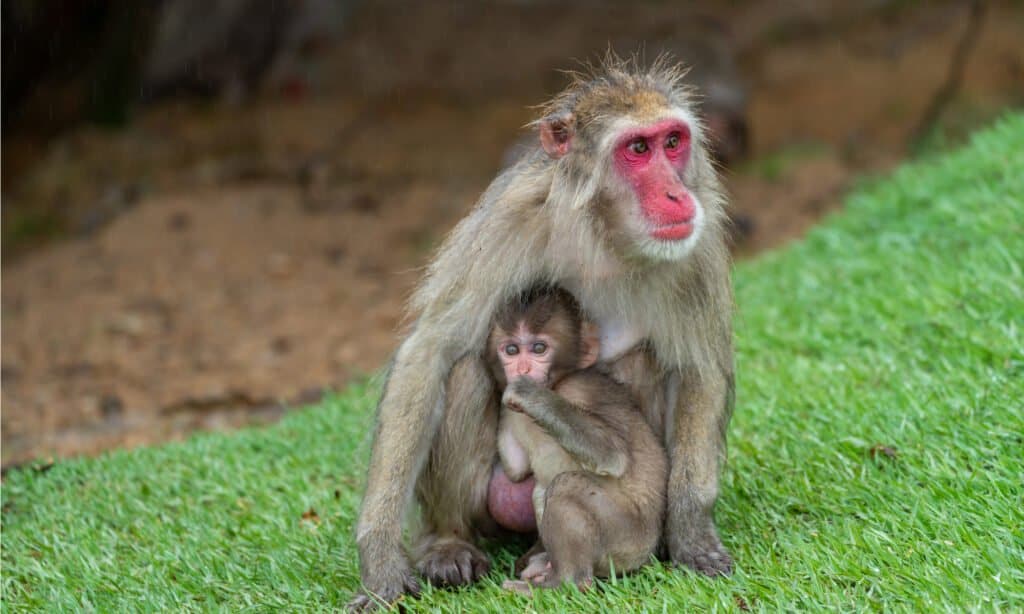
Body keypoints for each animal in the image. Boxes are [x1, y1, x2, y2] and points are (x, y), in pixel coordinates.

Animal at [489, 284, 671, 593]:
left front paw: (532, 396)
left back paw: (563, 582)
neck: (555, 384)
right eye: (511, 349)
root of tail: (648, 551)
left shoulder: (583, 389)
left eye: (539, 348)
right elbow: (516, 471)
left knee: (566, 484)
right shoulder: (513, 417)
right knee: (541, 489)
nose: (522, 370)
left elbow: (611, 455)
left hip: (626, 537)